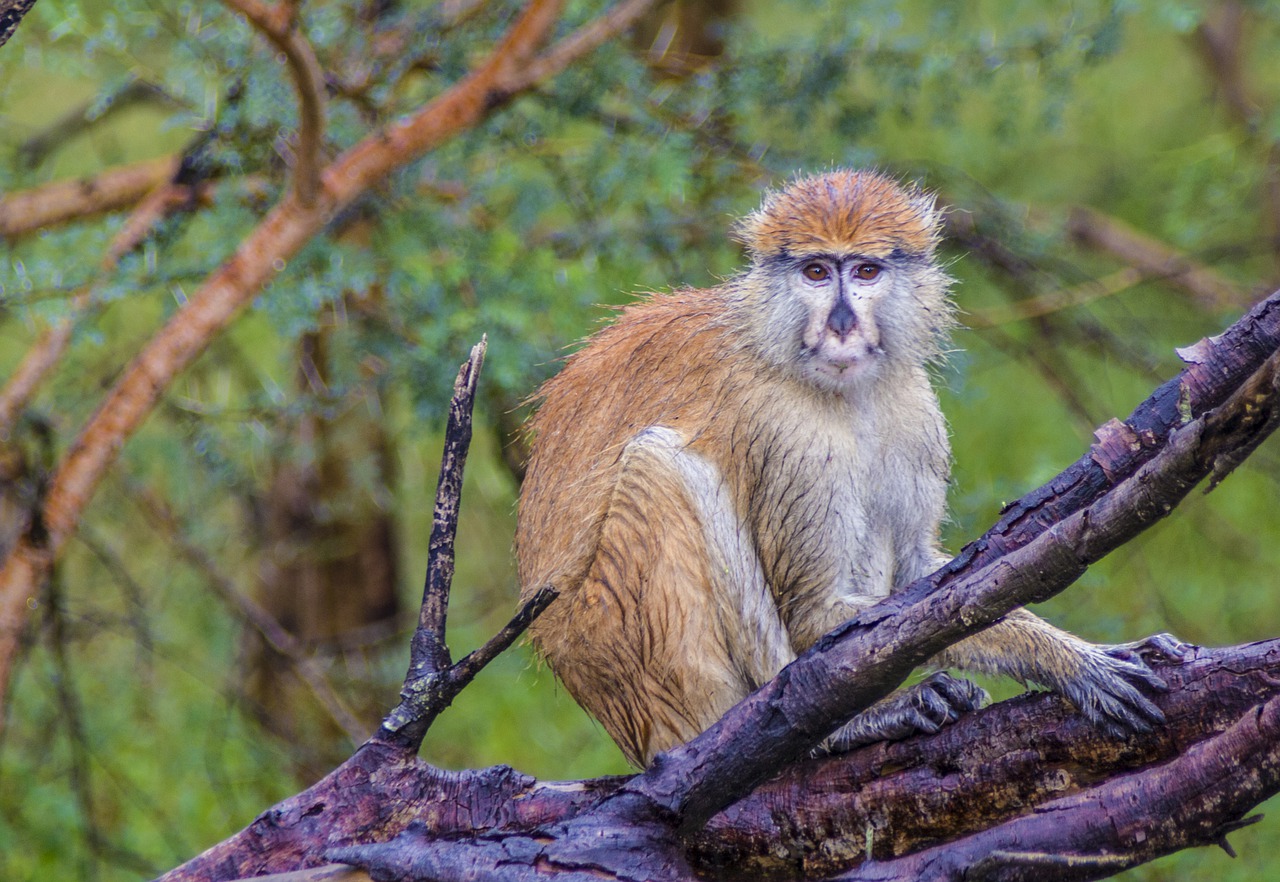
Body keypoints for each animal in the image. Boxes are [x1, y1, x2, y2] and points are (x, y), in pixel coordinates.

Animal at [515, 169, 1172, 768]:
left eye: (864, 272)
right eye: (814, 272)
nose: (841, 325)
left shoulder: (912, 409)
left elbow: (925, 577)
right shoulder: (786, 433)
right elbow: (816, 615)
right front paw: (1071, 661)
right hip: (634, 657)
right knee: (659, 465)